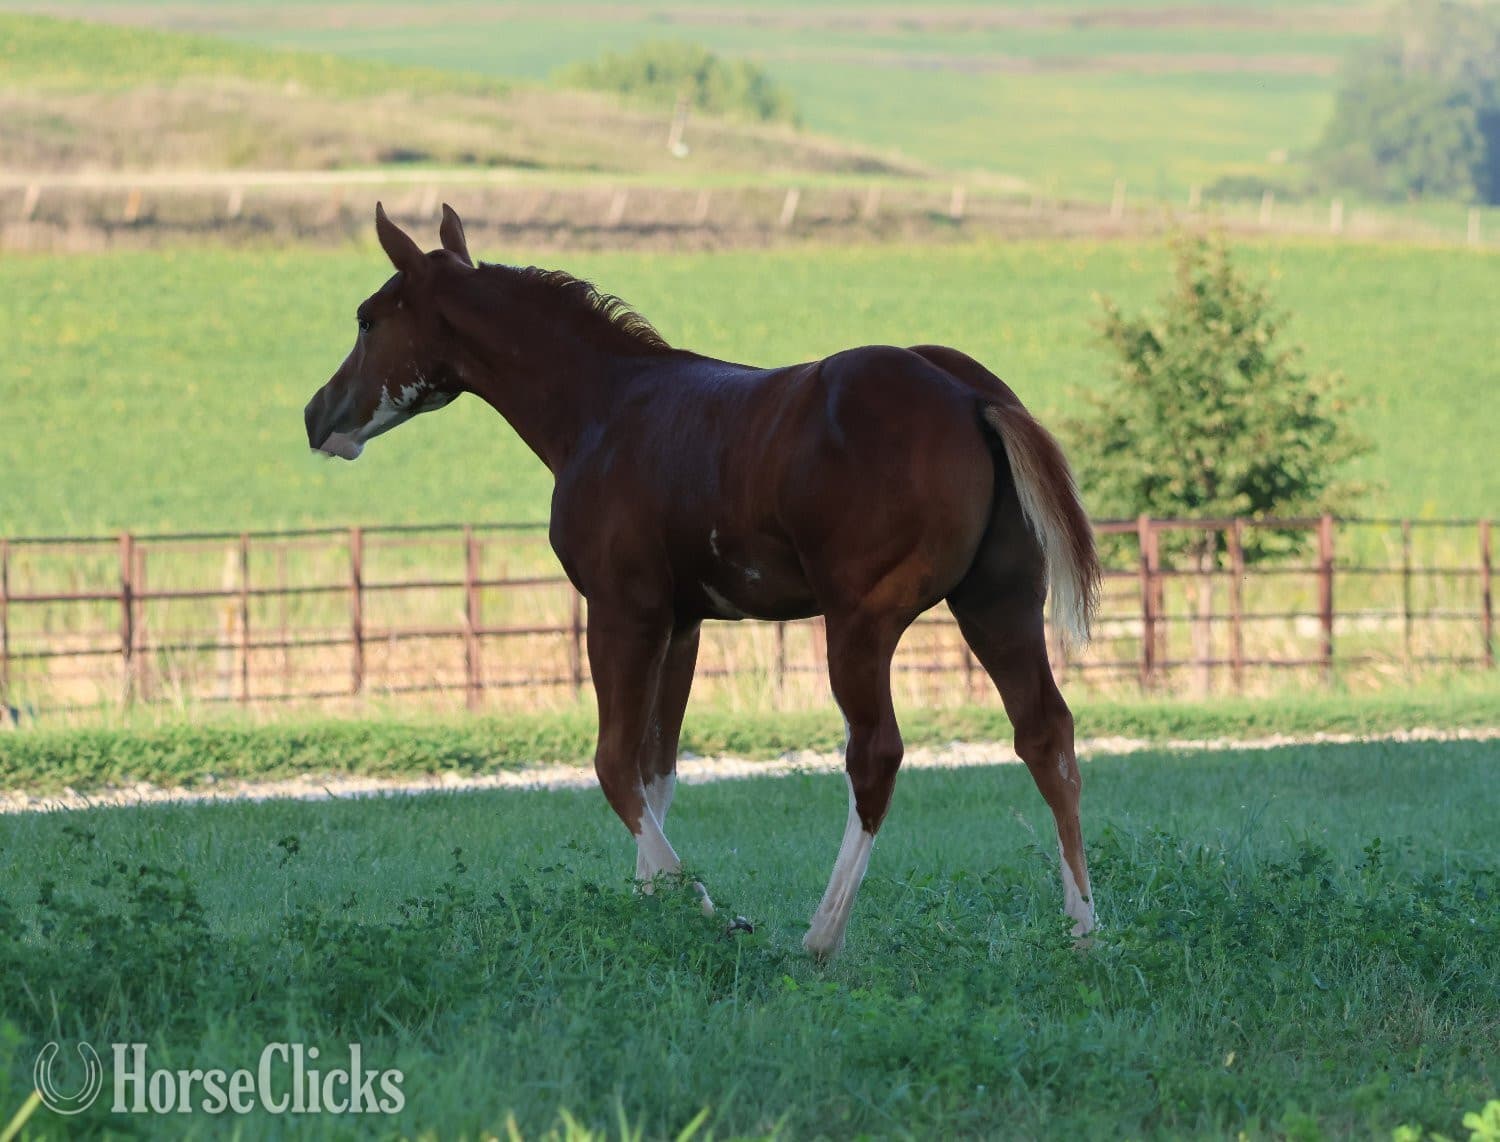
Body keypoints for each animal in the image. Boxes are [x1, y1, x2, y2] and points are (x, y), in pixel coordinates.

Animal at [304, 204, 1102, 958]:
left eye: (367, 318)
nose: (317, 415)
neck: (605, 408)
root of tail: (968, 395)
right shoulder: (683, 622)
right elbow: (658, 770)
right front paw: (649, 907)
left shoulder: (621, 610)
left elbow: (613, 764)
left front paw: (705, 909)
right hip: (997, 602)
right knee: (1046, 733)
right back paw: (1082, 931)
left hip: (861, 621)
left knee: (875, 754)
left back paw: (821, 936)